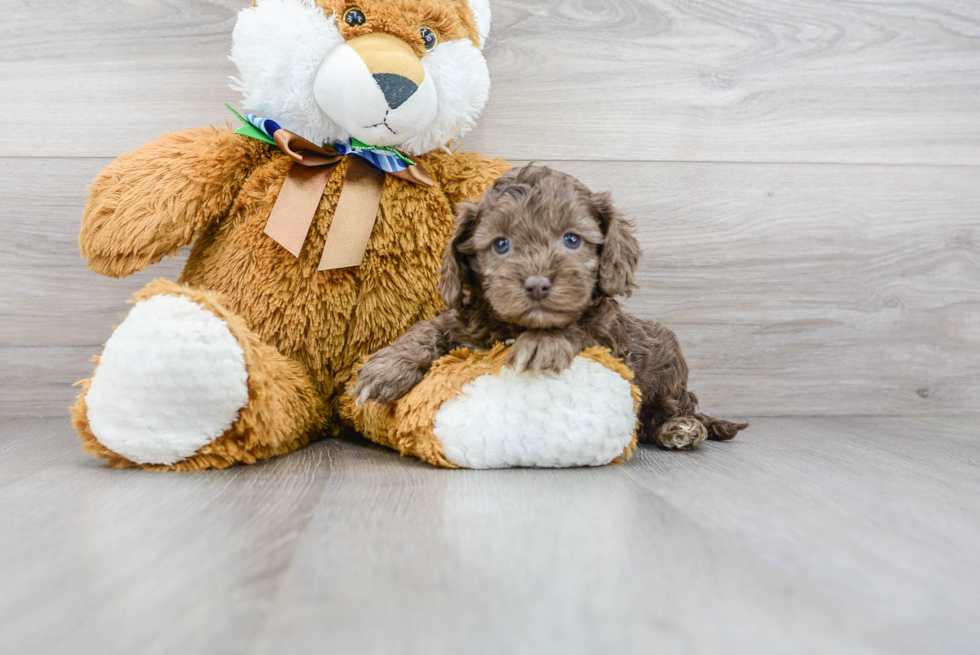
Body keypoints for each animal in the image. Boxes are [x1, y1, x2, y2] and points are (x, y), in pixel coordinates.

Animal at [348, 167, 748, 448]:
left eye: (572, 239)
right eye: (501, 244)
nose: (537, 284)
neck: (515, 327)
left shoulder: (609, 340)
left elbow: (578, 327)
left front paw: (545, 342)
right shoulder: (468, 320)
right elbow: (431, 327)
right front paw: (386, 367)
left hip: (669, 368)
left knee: (676, 410)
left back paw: (682, 428)